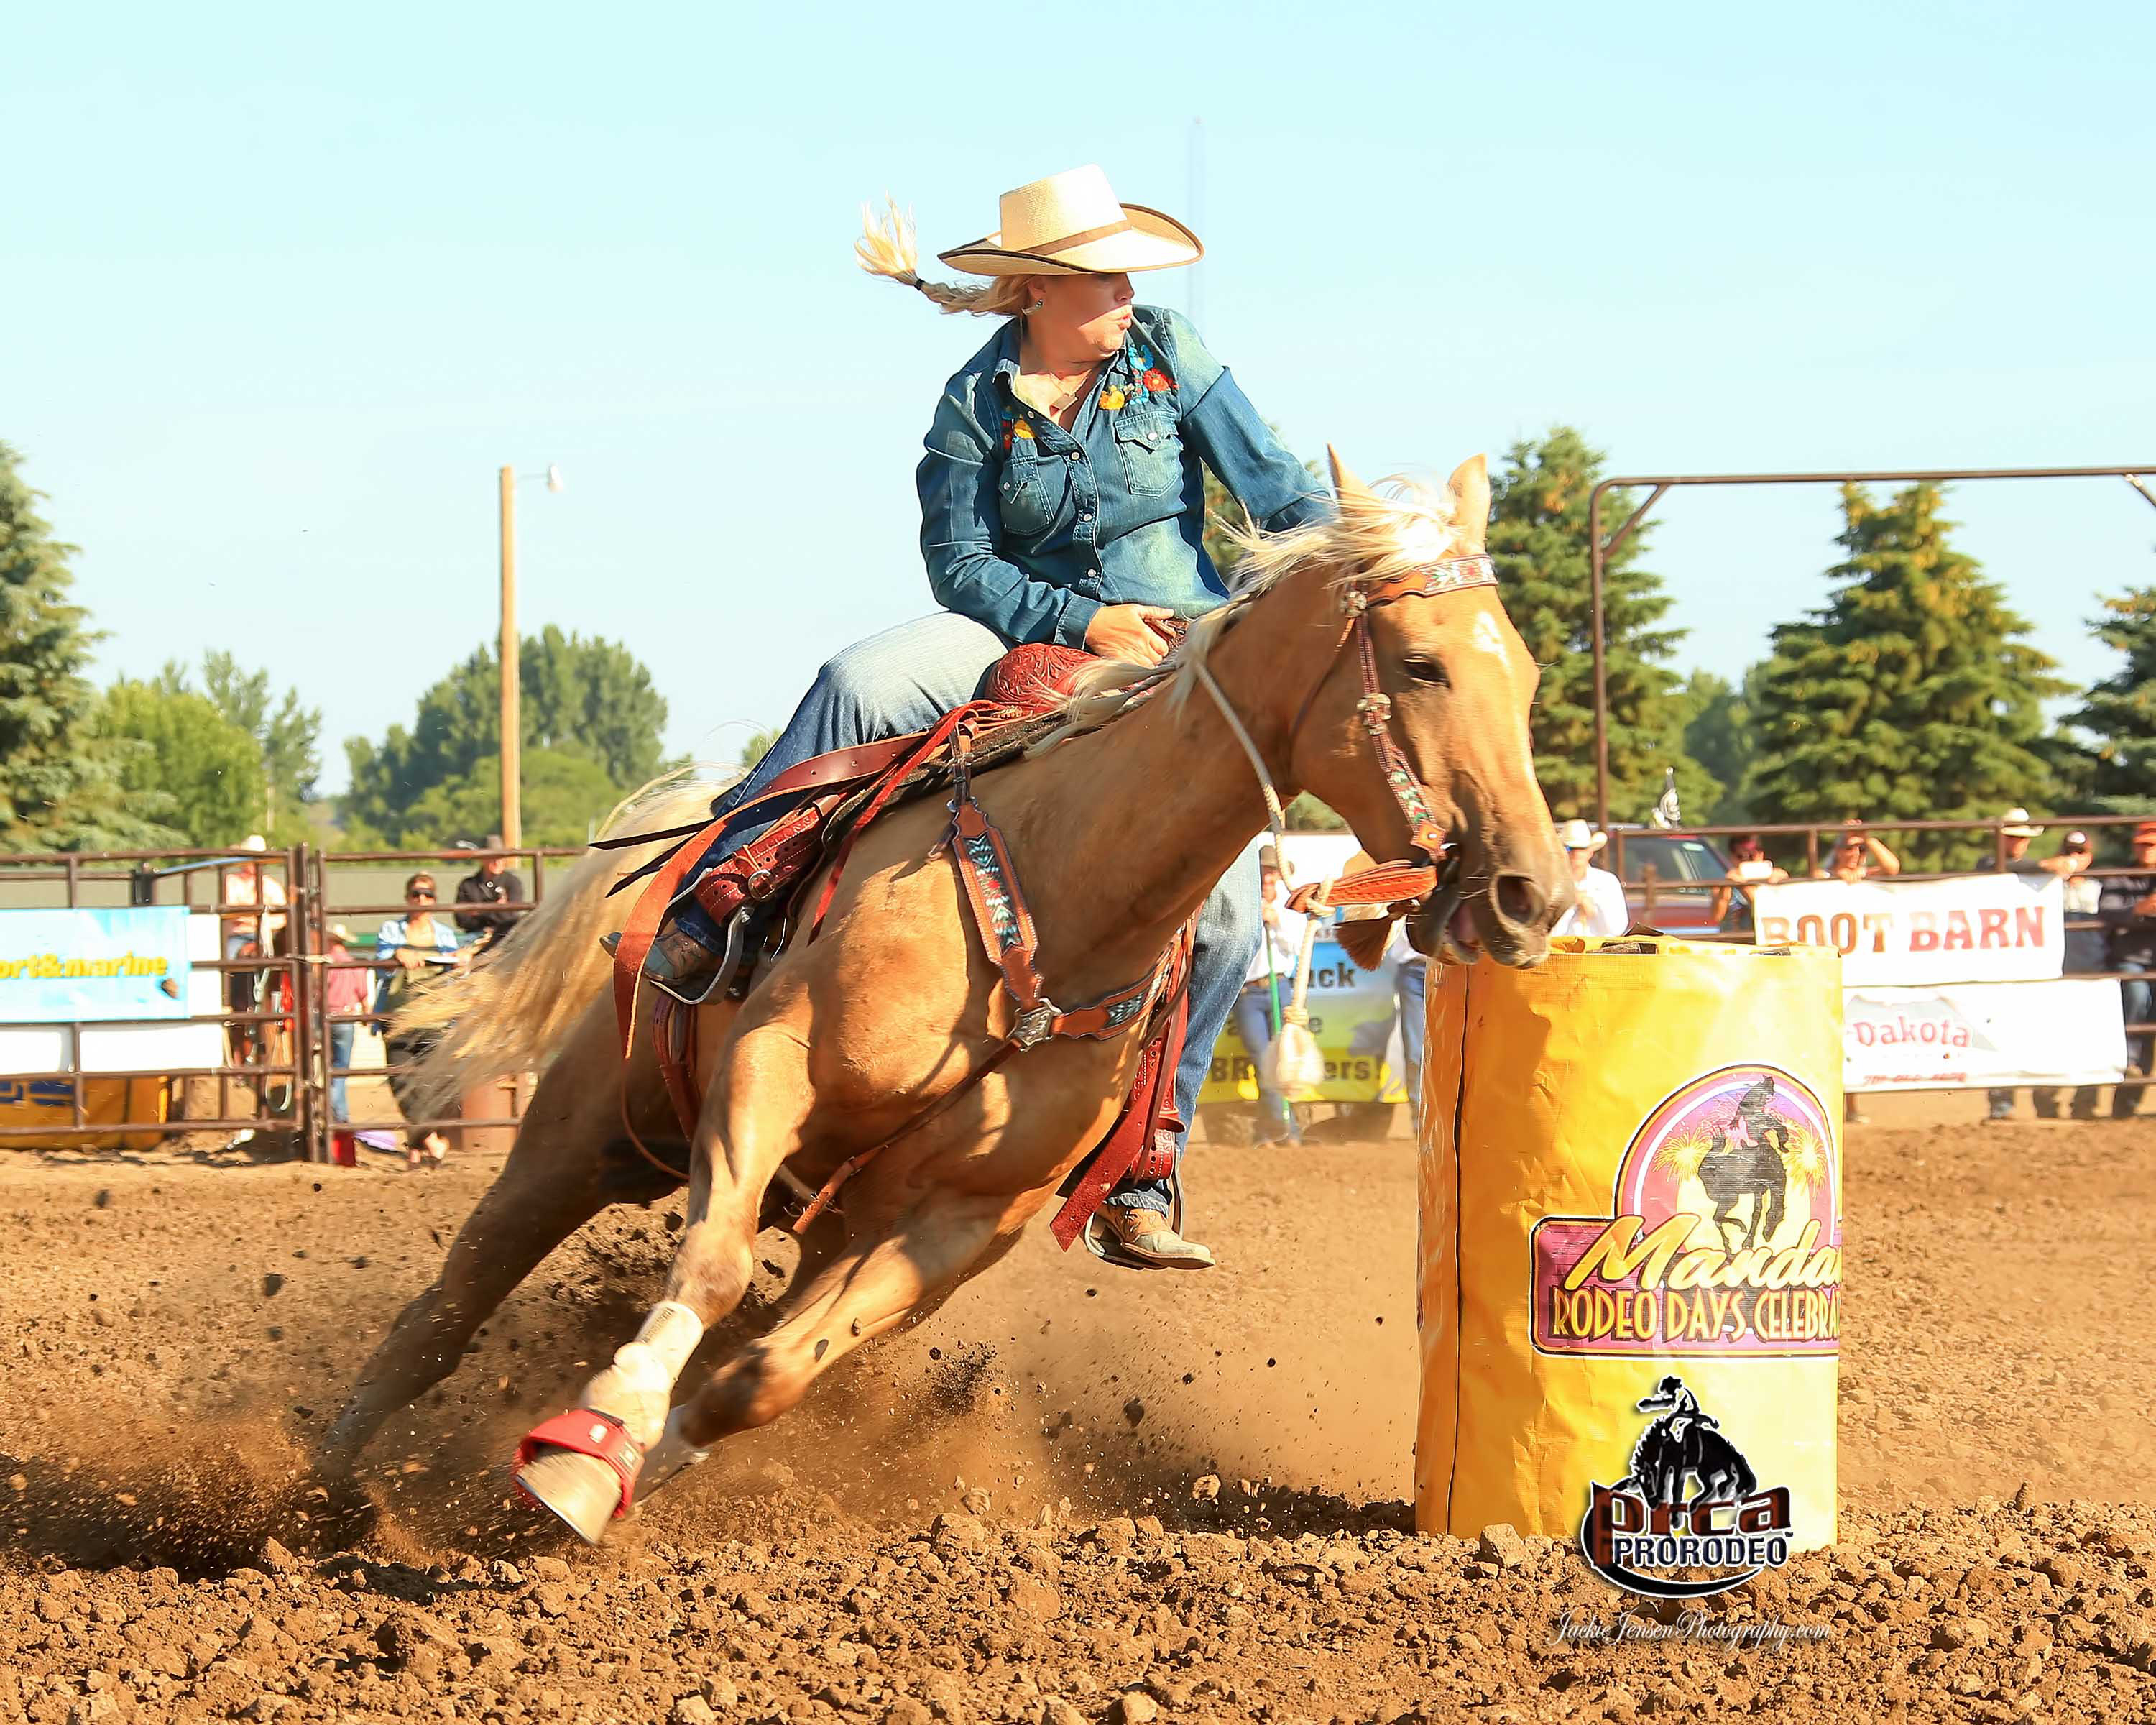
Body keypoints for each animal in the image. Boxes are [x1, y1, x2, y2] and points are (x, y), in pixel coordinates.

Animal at [318, 450, 1573, 1543]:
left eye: (1525, 672)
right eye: (1419, 663)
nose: (1534, 892)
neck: (1058, 903)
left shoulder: (959, 1230)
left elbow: (758, 1379)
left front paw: (607, 1479)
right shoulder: (771, 1066)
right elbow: (711, 1270)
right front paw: (595, 1436)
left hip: (824, 1220)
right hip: (584, 1134)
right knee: (443, 1314)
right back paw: (318, 1484)